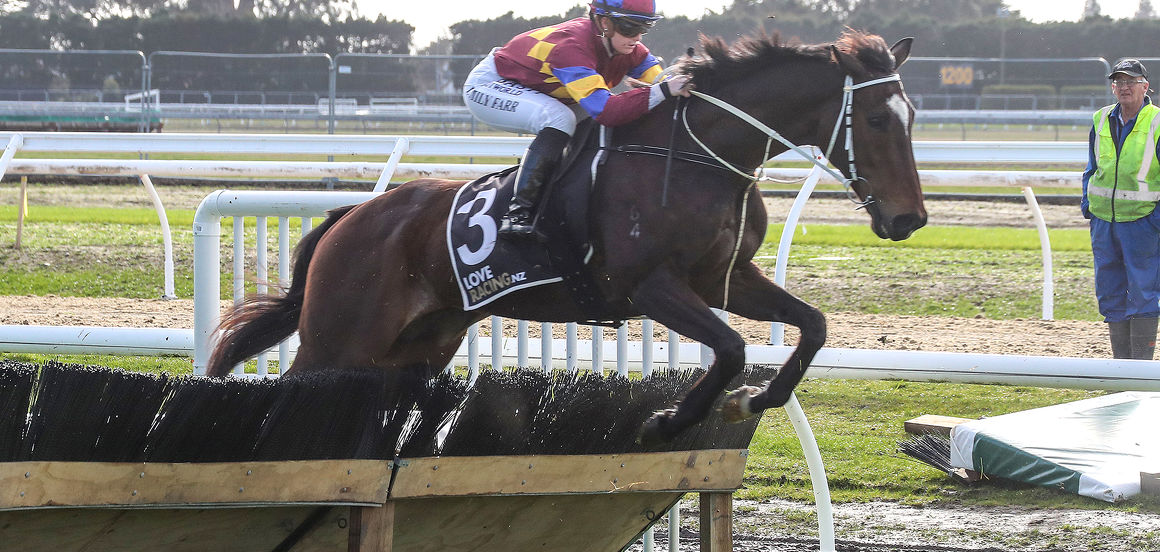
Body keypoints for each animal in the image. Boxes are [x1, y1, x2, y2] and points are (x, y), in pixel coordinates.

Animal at [208, 30, 928, 445]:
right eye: (873, 118)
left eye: (912, 115)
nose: (909, 220)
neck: (700, 155)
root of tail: (352, 217)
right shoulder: (650, 284)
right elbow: (728, 348)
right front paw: (670, 418)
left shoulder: (726, 279)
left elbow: (813, 327)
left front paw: (753, 400)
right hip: (340, 337)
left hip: (415, 348)